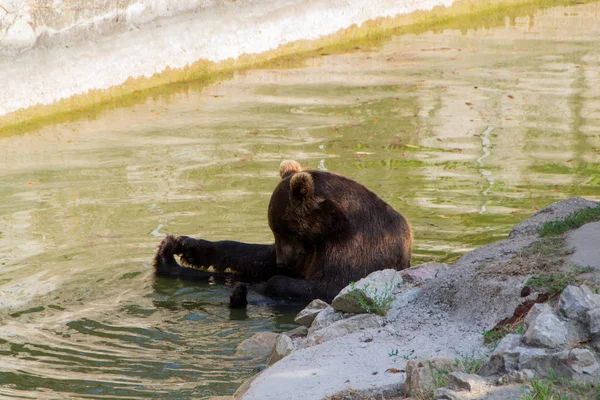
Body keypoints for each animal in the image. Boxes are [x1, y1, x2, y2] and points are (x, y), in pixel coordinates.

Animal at [152, 161, 410, 302]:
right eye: (275, 229)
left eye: (285, 229)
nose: (283, 260)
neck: (330, 229)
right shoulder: (309, 250)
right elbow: (255, 257)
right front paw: (192, 249)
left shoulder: (354, 250)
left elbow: (327, 286)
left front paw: (266, 284)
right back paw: (169, 257)